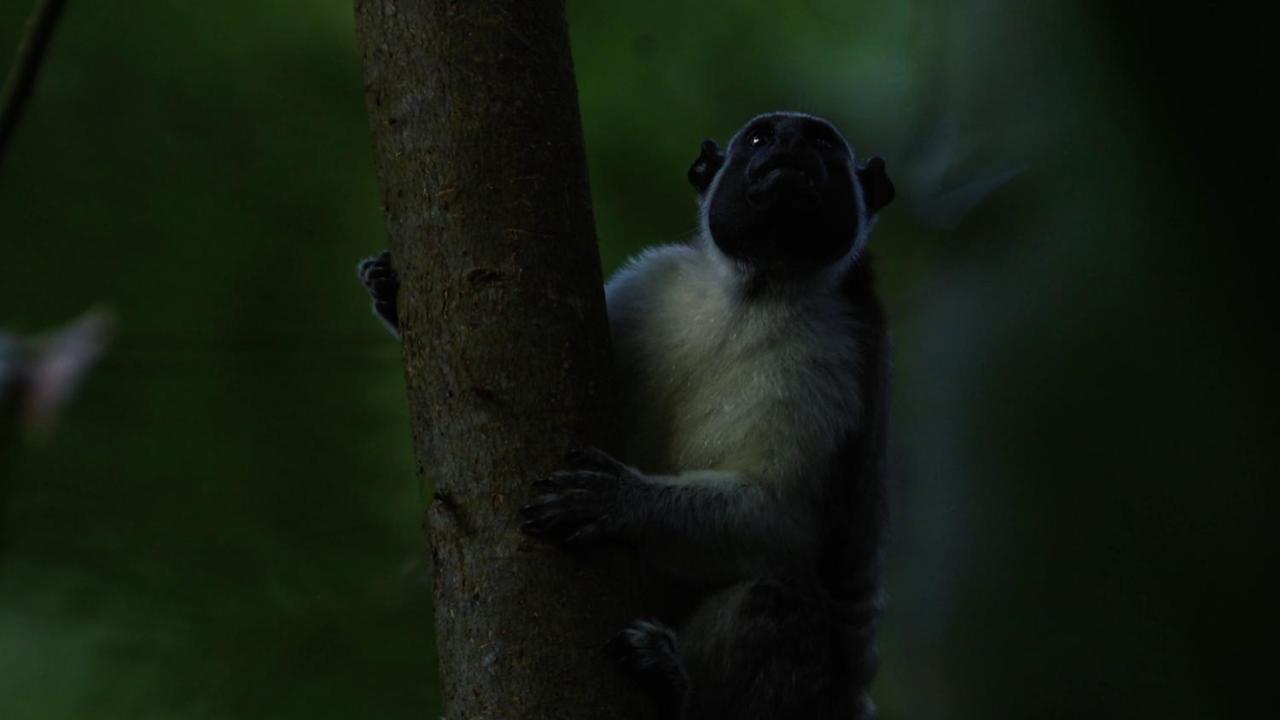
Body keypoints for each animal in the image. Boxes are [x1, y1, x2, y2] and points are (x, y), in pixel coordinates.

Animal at [355, 112, 896, 717]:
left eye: (821, 143)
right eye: (761, 137)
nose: (791, 144)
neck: (754, 293)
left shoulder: (834, 351)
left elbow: (787, 524)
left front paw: (622, 502)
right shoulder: (657, 280)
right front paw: (391, 294)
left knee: (781, 602)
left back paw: (674, 686)